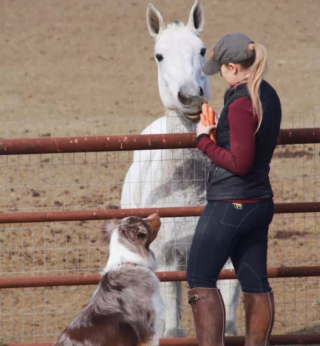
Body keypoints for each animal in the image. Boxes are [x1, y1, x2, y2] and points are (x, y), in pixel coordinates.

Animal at [120, 0, 240, 336]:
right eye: (159, 55)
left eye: (202, 50)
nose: (189, 96)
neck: (187, 186)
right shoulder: (167, 259)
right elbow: (173, 324)